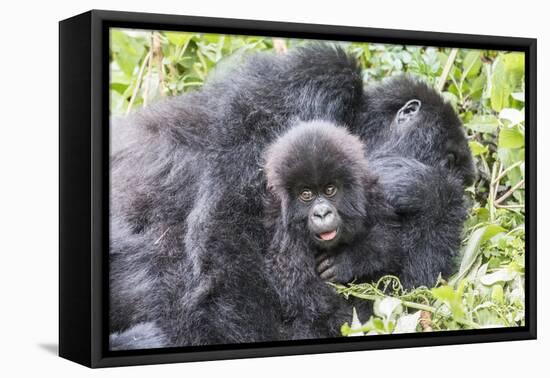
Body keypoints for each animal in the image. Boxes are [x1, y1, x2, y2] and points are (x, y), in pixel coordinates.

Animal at [264, 119, 398, 338]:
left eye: (329, 190)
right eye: (306, 194)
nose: (322, 213)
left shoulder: (371, 194)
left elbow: (387, 241)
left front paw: (346, 260)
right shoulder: (284, 231)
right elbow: (305, 294)